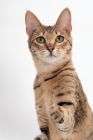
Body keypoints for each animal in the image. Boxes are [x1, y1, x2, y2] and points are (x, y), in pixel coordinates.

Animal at [24, 7, 93, 140]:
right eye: (40, 39)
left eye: (59, 38)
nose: (50, 48)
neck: (46, 75)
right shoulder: (43, 123)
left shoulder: (68, 117)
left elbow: (66, 117)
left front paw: (58, 111)